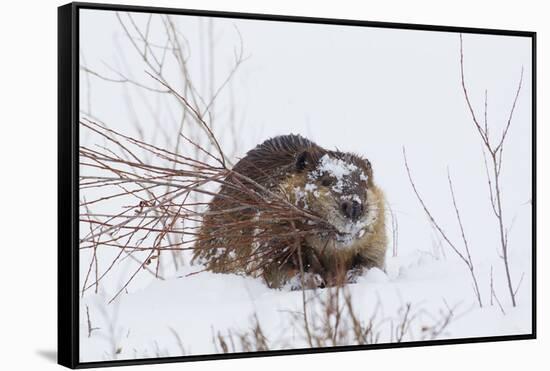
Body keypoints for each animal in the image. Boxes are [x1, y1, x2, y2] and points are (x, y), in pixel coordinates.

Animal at [193, 135, 388, 290]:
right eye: (325, 181)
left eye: (365, 184)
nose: (354, 206)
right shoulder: (269, 224)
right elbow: (274, 267)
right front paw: (313, 279)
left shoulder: (377, 237)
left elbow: (373, 262)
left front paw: (353, 276)